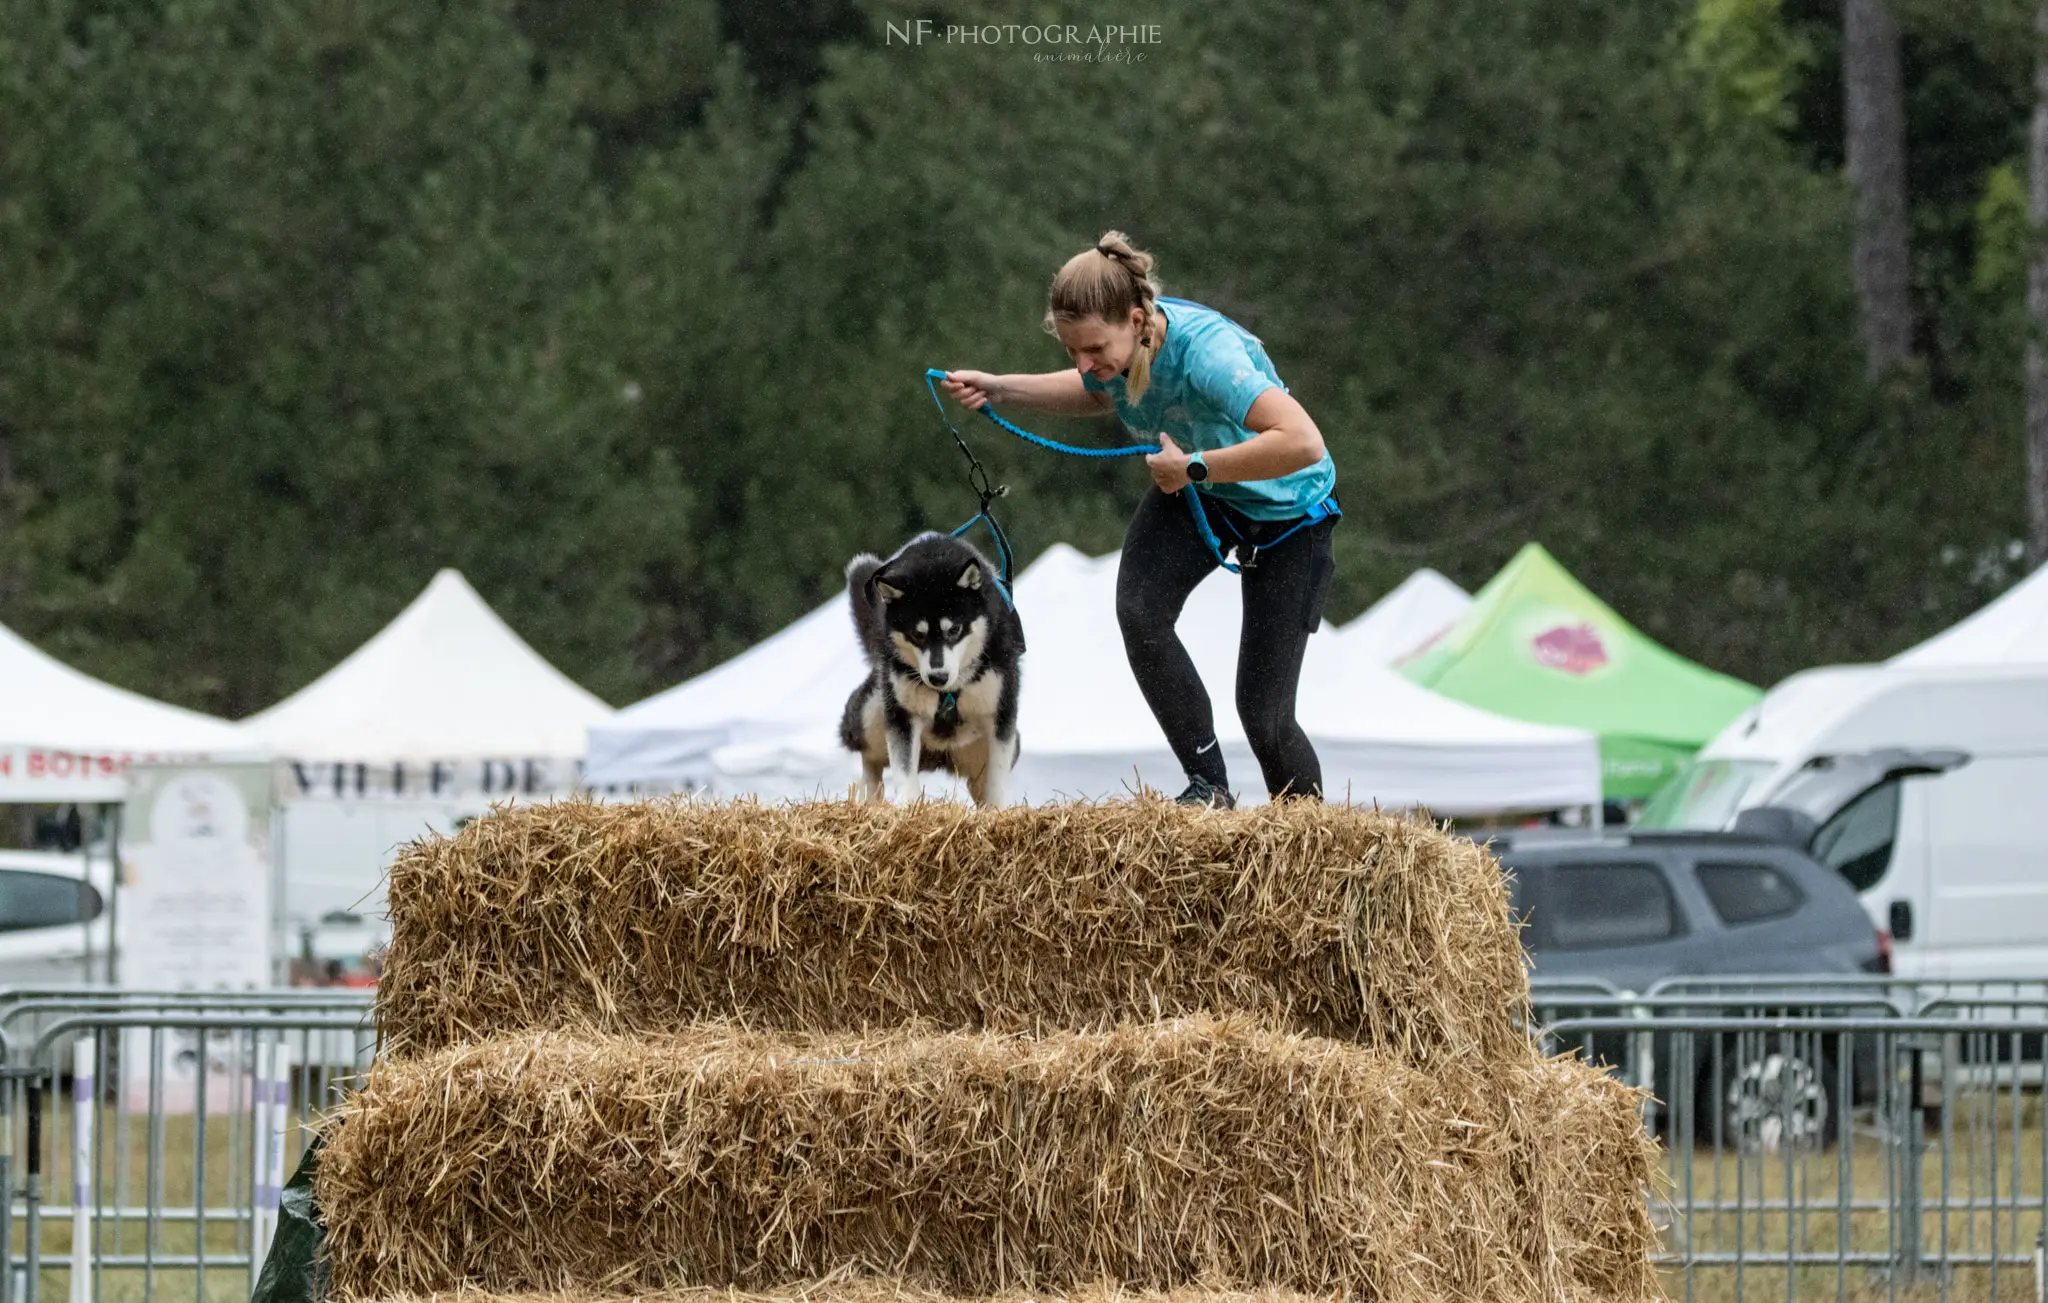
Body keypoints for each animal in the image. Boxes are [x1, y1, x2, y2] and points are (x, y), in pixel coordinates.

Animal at [835, 528, 1019, 803]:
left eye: (954, 630)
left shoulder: (1000, 712)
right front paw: (907, 804)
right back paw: (871, 797)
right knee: (870, 757)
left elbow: (996, 779)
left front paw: (996, 807)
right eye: (917, 634)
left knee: (978, 782)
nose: (937, 677)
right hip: (873, 709)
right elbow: (903, 770)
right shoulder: (902, 714)